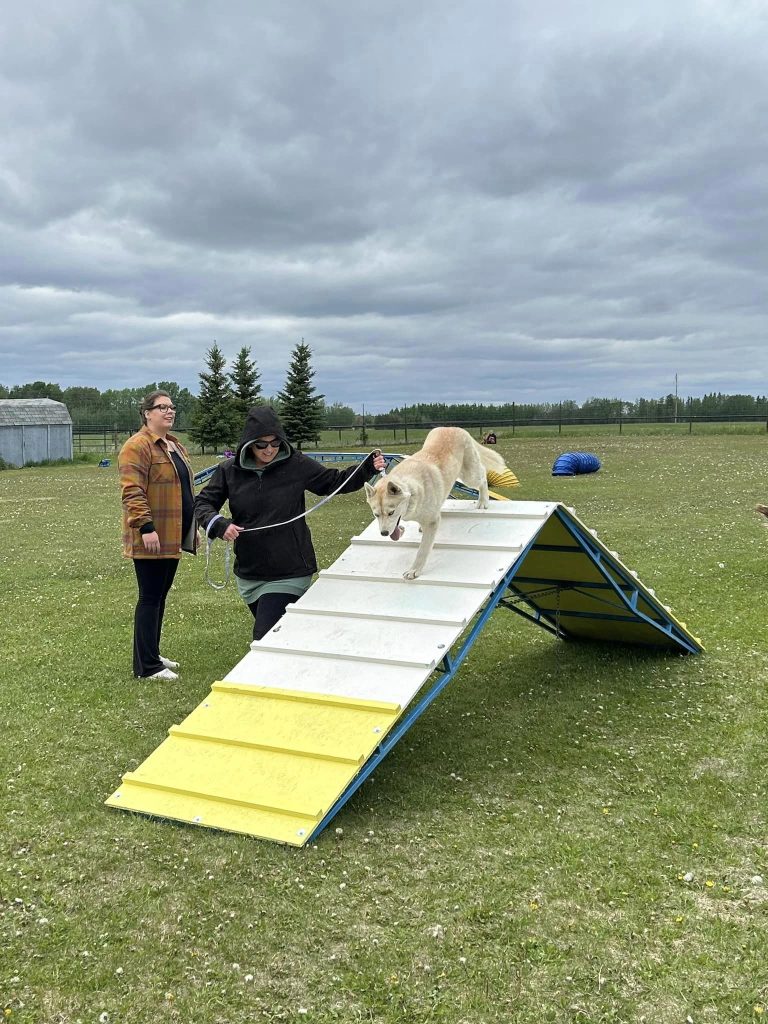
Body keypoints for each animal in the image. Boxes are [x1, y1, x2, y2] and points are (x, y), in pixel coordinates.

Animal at [364, 427, 518, 579]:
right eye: (376, 515)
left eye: (391, 512)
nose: (384, 533)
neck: (412, 490)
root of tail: (455, 428)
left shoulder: (432, 522)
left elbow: (423, 550)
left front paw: (414, 570)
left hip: (469, 476)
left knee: (483, 476)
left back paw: (483, 501)